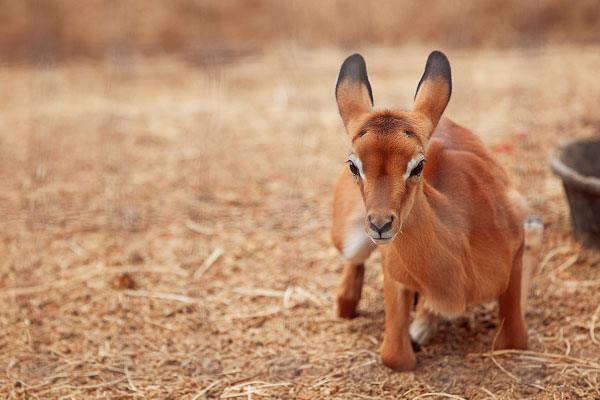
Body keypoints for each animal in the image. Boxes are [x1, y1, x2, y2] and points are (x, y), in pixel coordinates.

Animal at [328, 51, 544, 370]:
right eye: (353, 165)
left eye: (418, 165)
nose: (381, 225)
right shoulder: (393, 274)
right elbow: (395, 356)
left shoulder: (514, 258)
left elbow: (515, 338)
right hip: (350, 240)